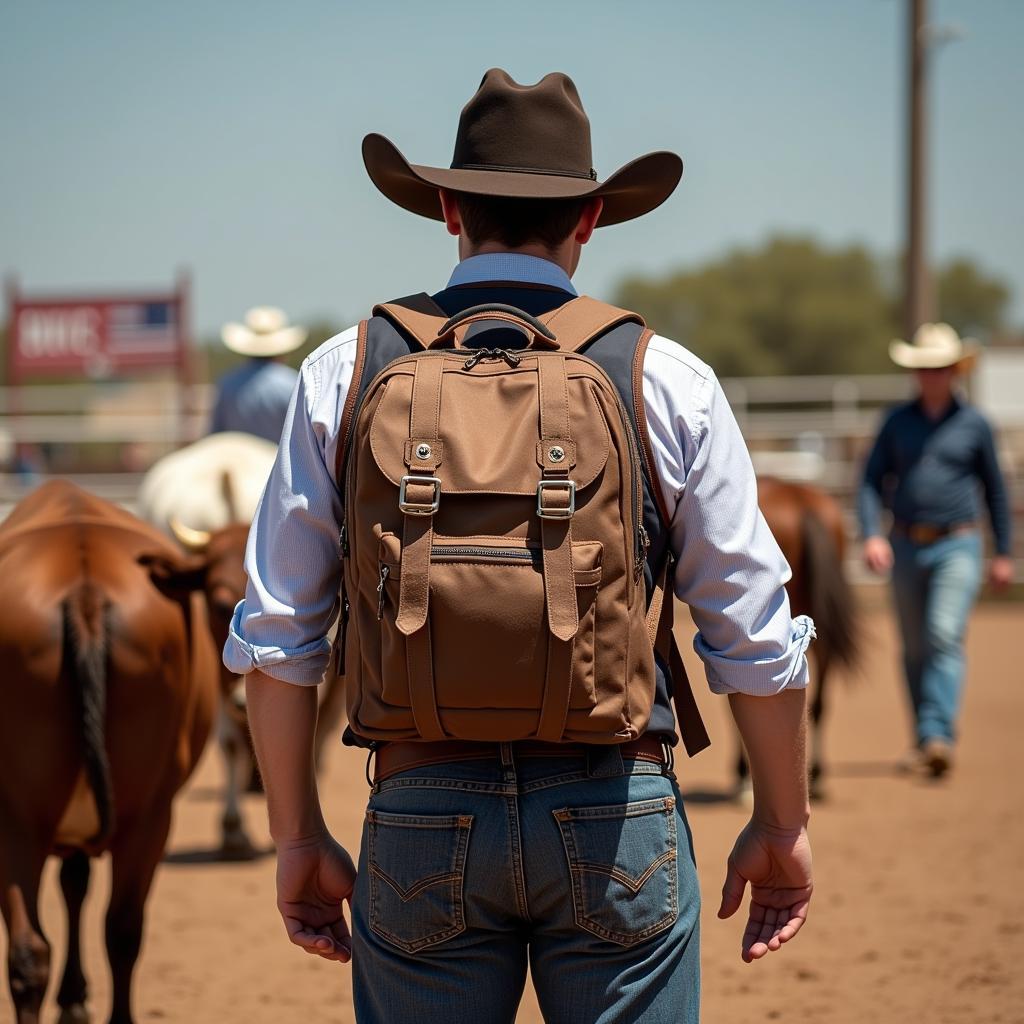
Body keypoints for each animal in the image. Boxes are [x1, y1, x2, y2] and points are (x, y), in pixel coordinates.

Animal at [0, 481, 216, 1024]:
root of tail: (84, 591)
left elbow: (75, 884)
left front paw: (74, 997)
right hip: (142, 815)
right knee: (114, 931)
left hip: (23, 817)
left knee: (42, 946)